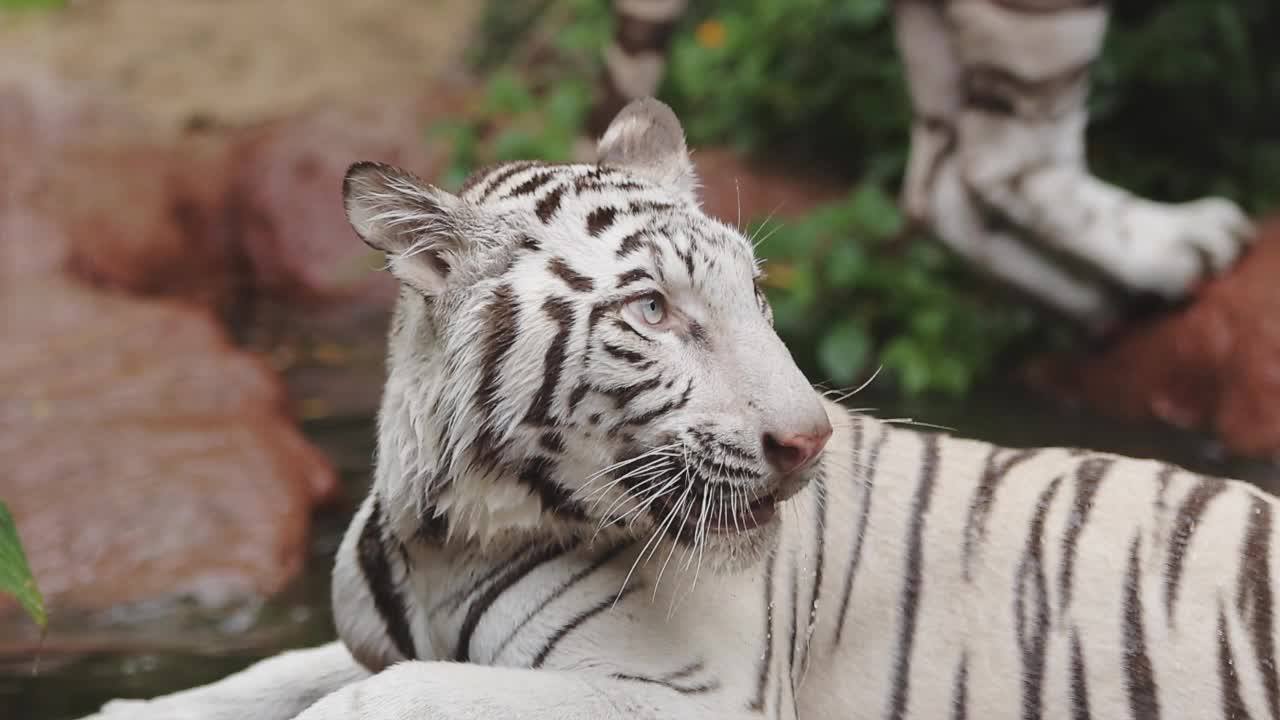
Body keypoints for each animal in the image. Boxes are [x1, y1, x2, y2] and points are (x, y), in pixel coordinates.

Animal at [85, 96, 1274, 717]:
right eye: (654, 310)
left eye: (755, 295)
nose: (806, 442)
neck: (449, 533)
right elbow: (275, 671)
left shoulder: (683, 697)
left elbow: (403, 694)